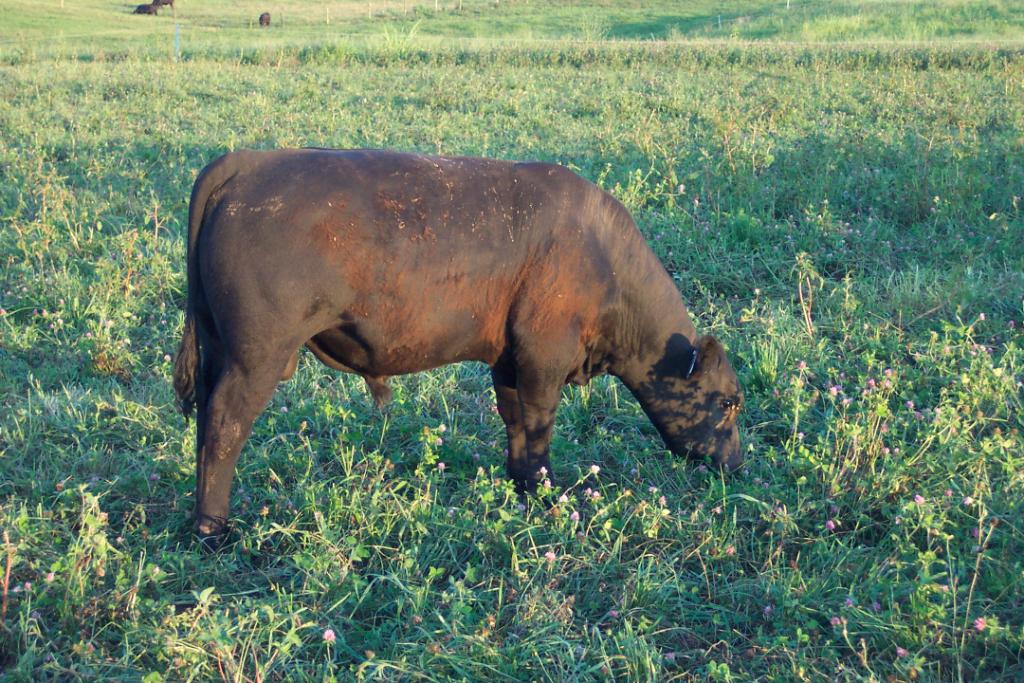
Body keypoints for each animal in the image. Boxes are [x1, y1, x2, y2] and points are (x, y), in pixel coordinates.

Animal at [176, 149, 745, 544]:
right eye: (728, 402)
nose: (737, 466)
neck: (603, 258)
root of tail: (249, 161)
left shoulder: (510, 363)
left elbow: (516, 424)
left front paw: (521, 485)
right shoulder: (544, 361)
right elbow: (540, 426)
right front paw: (545, 493)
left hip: (220, 351)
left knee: (206, 422)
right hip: (257, 360)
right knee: (224, 426)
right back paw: (214, 531)